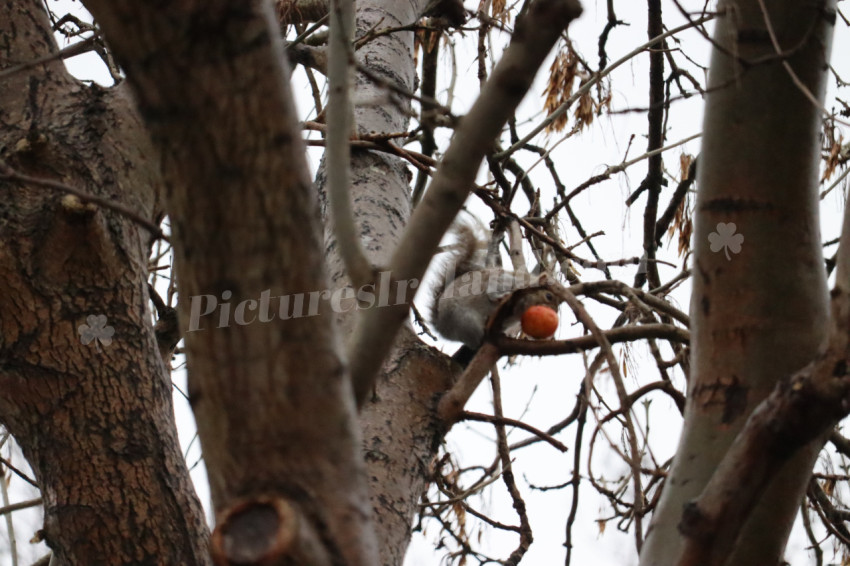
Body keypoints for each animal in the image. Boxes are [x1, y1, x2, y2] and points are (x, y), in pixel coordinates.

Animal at [431, 222, 560, 354]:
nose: (555, 311)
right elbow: (492, 290)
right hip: (464, 320)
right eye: (549, 296)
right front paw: (499, 296)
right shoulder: (505, 280)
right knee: (475, 339)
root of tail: (440, 326)